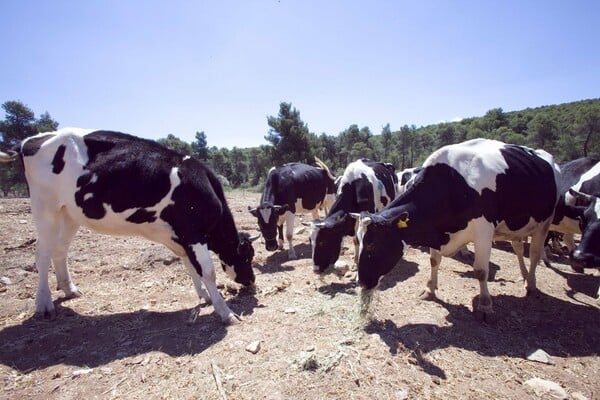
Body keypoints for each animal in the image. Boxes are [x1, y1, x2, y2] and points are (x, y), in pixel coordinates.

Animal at [0, 130, 255, 324]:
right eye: (247, 255)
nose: (251, 280)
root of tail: (30, 140)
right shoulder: (192, 232)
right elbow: (207, 271)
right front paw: (226, 312)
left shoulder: (178, 236)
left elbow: (190, 265)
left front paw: (204, 296)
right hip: (45, 208)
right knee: (42, 253)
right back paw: (44, 304)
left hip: (68, 213)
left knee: (59, 250)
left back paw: (69, 289)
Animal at [354, 139, 560, 318]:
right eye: (359, 242)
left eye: (372, 244)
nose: (360, 281)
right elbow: (434, 261)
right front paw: (430, 289)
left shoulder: (483, 231)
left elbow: (481, 270)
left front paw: (485, 305)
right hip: (517, 226)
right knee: (518, 248)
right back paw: (524, 276)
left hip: (544, 222)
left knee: (534, 253)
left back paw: (531, 284)